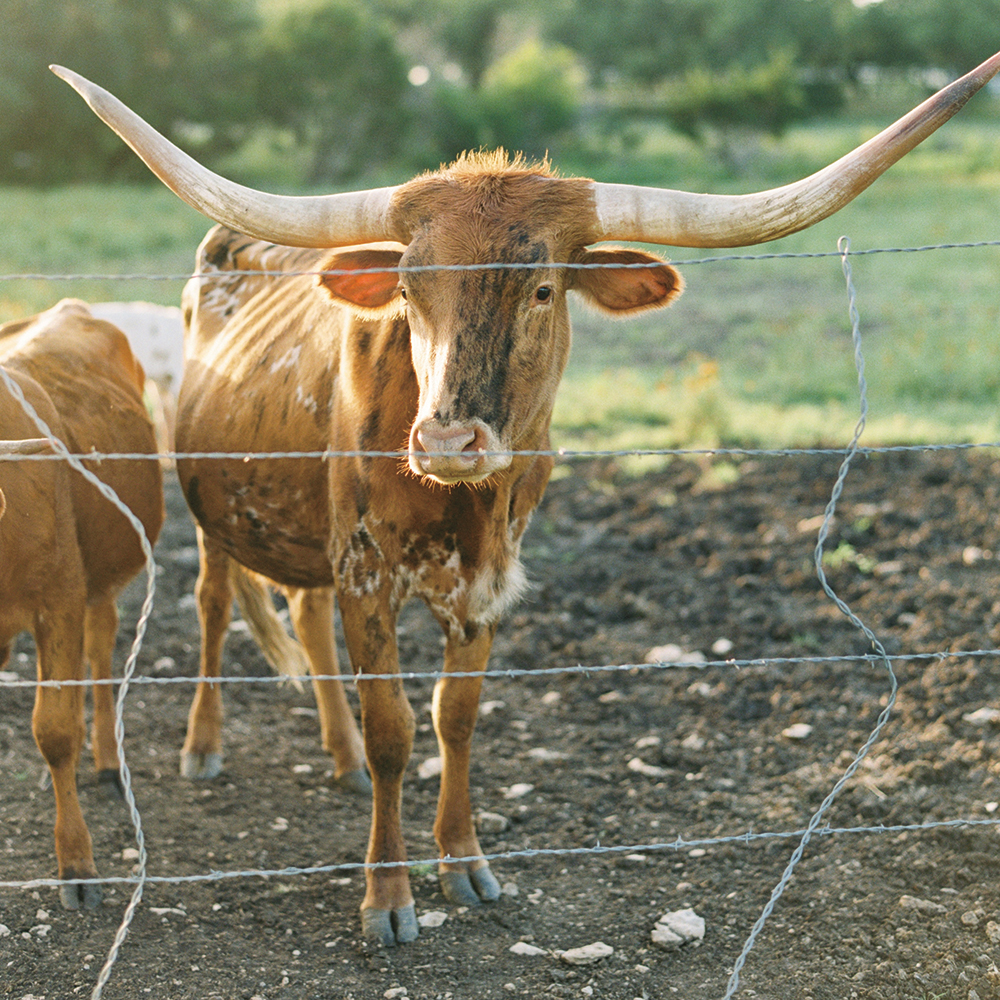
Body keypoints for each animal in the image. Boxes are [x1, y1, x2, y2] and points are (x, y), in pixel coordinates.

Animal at [52, 52, 1000, 944]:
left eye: (541, 288)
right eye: (408, 291)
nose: (447, 441)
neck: (462, 501)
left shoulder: (487, 578)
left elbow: (456, 718)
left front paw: (464, 861)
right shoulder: (367, 569)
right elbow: (397, 727)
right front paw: (387, 896)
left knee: (307, 615)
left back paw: (339, 755)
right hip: (215, 507)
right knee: (216, 603)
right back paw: (206, 746)